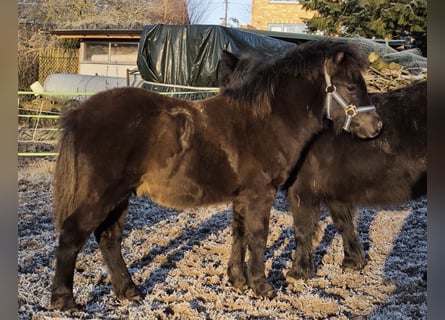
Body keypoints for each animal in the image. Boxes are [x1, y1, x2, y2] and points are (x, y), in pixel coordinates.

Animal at [49, 38, 382, 310]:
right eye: (351, 86)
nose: (376, 127)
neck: (266, 121)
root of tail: (79, 114)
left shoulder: (242, 196)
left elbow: (239, 234)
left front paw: (238, 281)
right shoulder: (261, 193)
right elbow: (258, 236)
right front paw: (262, 287)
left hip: (120, 197)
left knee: (109, 238)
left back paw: (128, 291)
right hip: (103, 194)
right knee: (72, 234)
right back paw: (65, 301)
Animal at [284, 80, 426, 280]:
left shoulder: (301, 190)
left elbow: (302, 230)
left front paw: (297, 272)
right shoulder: (333, 191)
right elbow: (344, 223)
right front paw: (353, 261)